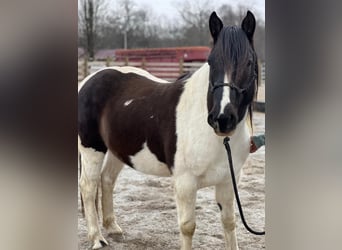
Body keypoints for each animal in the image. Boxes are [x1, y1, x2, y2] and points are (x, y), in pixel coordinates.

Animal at [79, 10, 258, 249]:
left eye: (249, 62)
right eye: (211, 62)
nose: (222, 119)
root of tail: (89, 80)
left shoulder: (228, 180)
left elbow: (229, 222)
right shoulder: (185, 182)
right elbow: (188, 227)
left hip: (118, 150)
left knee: (106, 180)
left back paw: (113, 228)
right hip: (92, 149)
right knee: (88, 187)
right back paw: (97, 238)